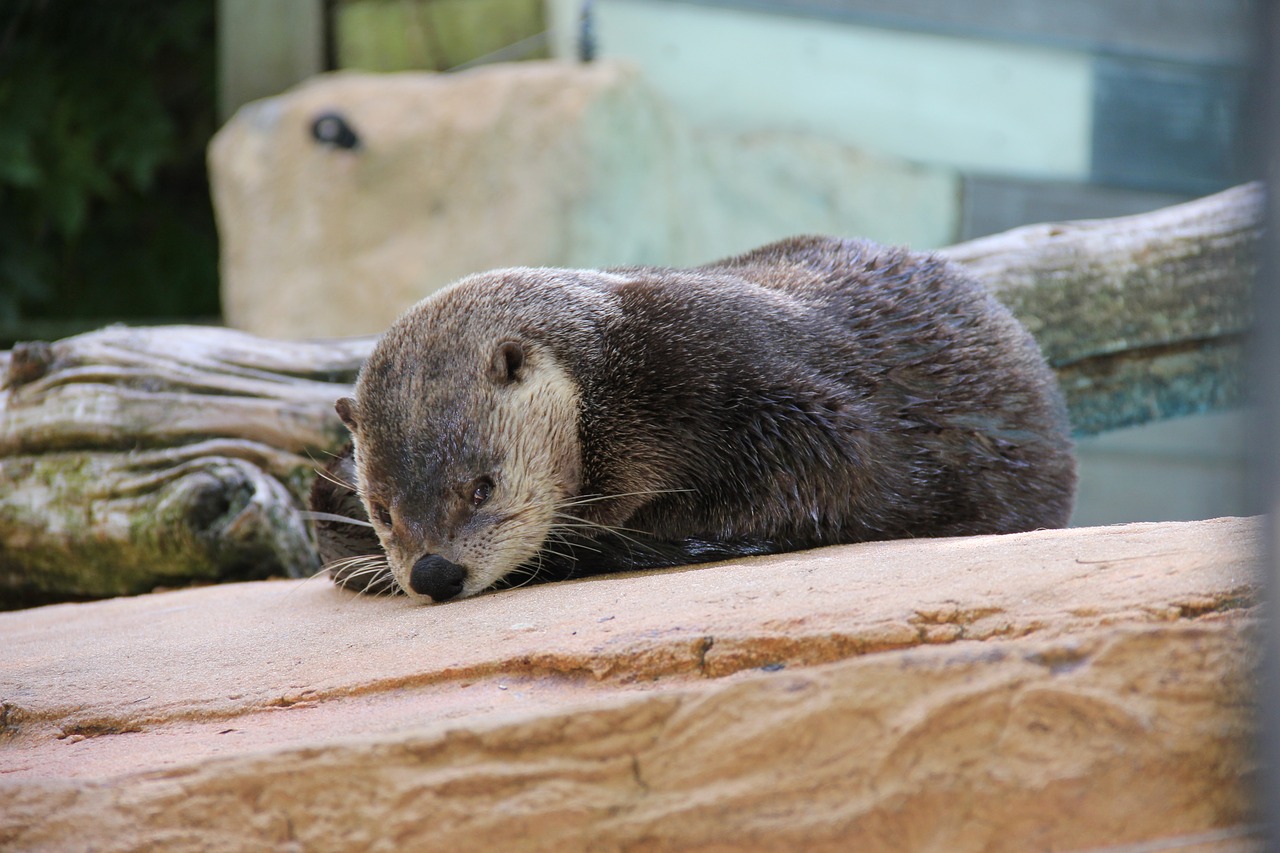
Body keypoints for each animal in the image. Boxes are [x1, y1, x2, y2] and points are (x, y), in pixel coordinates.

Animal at [320, 235, 1070, 601]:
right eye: (382, 510)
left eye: (483, 487)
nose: (433, 574)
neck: (619, 377)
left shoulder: (738, 378)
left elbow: (838, 470)